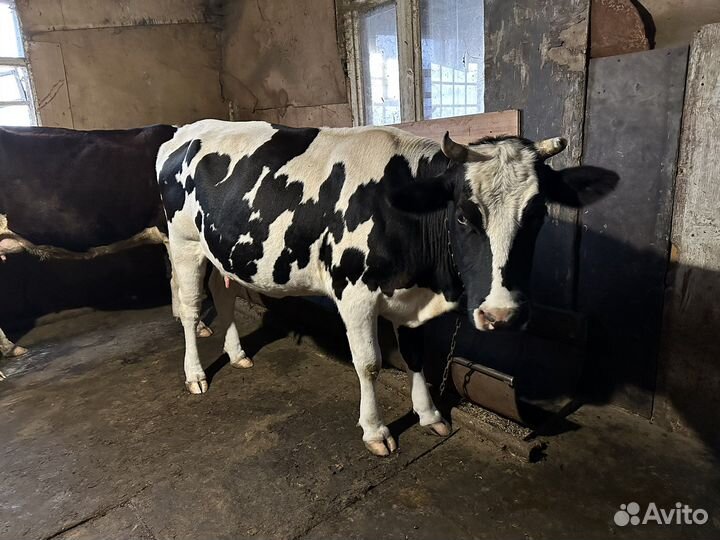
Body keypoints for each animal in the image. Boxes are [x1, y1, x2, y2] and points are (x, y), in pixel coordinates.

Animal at [157, 119, 616, 456]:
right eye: (463, 215)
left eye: (537, 215)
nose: (501, 315)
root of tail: (187, 129)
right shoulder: (353, 294)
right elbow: (370, 364)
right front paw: (376, 431)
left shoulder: (412, 301)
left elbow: (416, 356)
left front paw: (429, 415)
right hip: (183, 242)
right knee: (191, 307)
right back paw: (196, 374)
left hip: (219, 251)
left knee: (225, 296)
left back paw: (238, 355)